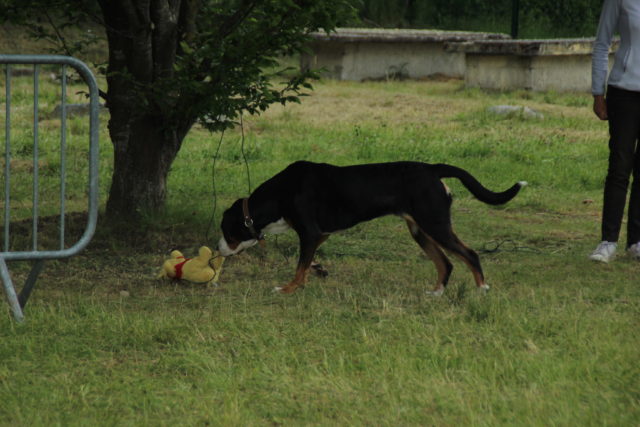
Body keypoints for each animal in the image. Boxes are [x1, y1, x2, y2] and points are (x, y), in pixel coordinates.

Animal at [220, 162, 524, 296]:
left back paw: (482, 289)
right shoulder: (320, 234)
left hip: (435, 224)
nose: (219, 250)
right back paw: (436, 292)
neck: (283, 192)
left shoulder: (310, 232)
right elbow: (306, 262)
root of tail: (433, 169)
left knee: (469, 254)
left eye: (226, 232)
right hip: (420, 230)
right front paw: (314, 272)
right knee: (446, 262)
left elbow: (298, 266)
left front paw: (287, 288)